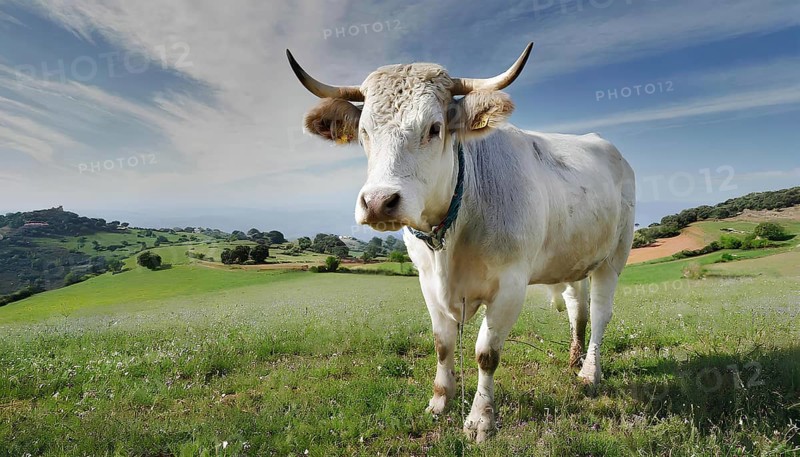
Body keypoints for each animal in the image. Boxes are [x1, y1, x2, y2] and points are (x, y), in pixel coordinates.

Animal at [287, 43, 635, 442]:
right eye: (364, 133)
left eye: (434, 128)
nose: (378, 202)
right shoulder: (427, 282)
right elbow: (442, 343)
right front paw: (440, 400)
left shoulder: (510, 286)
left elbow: (486, 354)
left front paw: (481, 419)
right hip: (572, 257)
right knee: (577, 307)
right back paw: (574, 358)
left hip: (614, 257)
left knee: (601, 313)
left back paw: (590, 372)